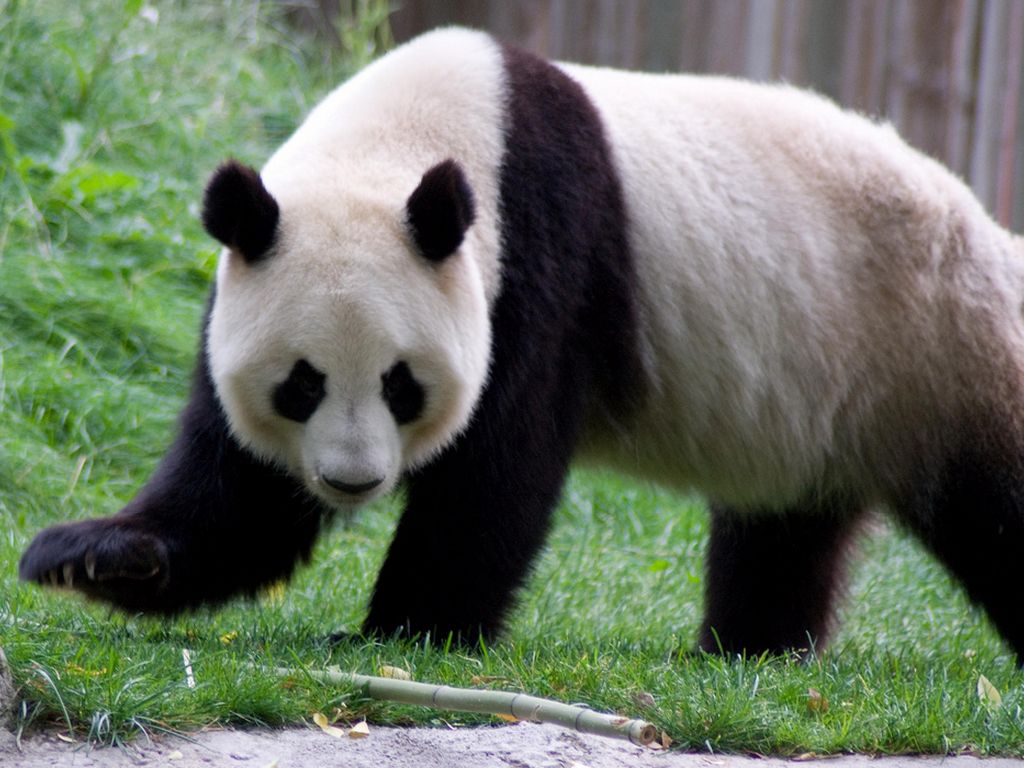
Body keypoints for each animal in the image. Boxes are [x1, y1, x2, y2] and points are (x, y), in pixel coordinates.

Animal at [20, 28, 1024, 660]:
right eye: (299, 384)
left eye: (402, 384)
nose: (351, 482)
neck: (417, 134)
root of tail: (985, 225)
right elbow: (242, 496)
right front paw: (93, 554)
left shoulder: (539, 257)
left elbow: (497, 466)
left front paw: (402, 631)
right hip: (821, 387)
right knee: (785, 525)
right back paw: (751, 650)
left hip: (935, 343)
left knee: (996, 497)